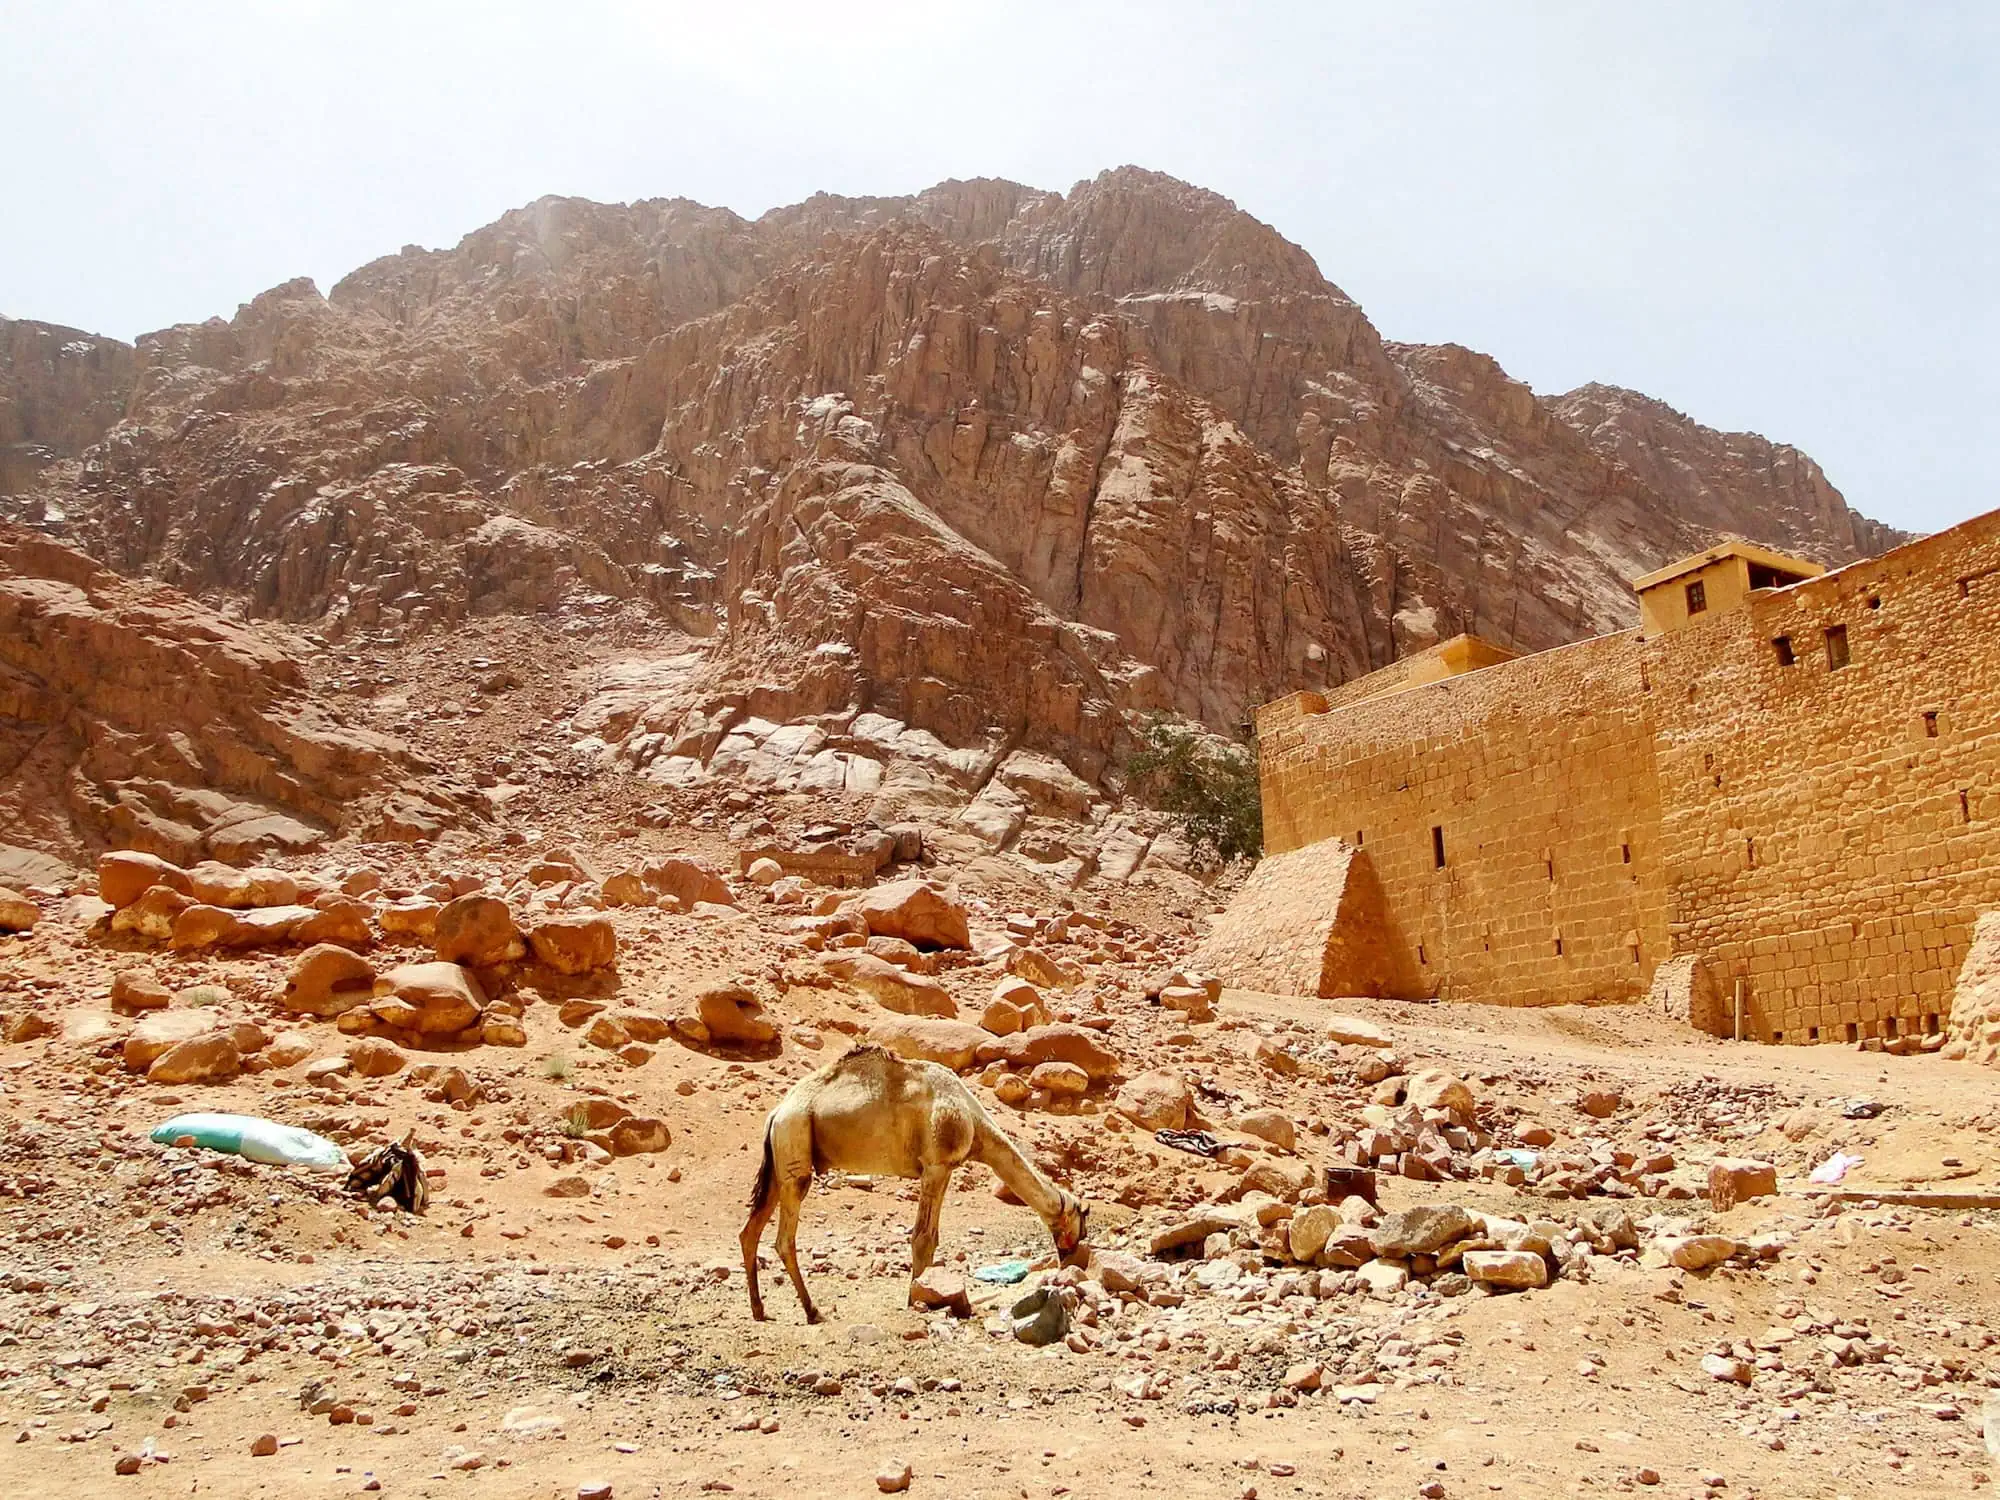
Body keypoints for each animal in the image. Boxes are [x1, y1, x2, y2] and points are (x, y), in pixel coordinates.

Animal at [742, 1044, 1088, 1323]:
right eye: (1082, 1223)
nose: (1071, 1259)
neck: (974, 1122)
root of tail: (776, 1112)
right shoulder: (936, 1165)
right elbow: (923, 1238)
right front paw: (916, 1300)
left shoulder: (943, 1168)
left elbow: (930, 1237)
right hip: (795, 1146)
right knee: (783, 1239)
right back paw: (813, 1311)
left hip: (779, 1164)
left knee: (750, 1232)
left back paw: (759, 1309)